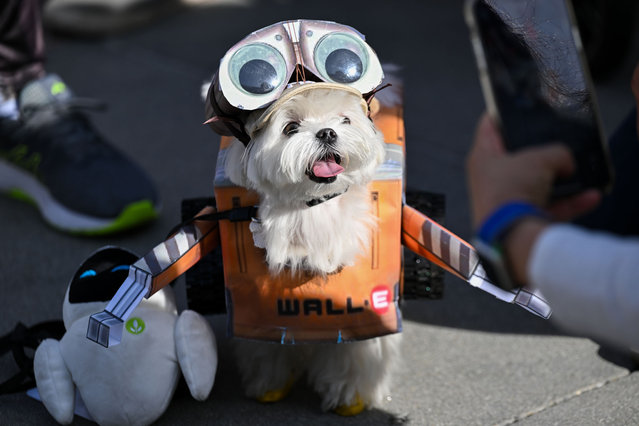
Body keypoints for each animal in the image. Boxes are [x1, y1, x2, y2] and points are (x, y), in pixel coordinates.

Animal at [222, 85, 402, 414]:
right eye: (290, 127)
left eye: (344, 119)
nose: (327, 133)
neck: (313, 205)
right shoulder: (257, 309)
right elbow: (267, 344)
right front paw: (270, 381)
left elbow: (357, 350)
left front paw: (349, 393)